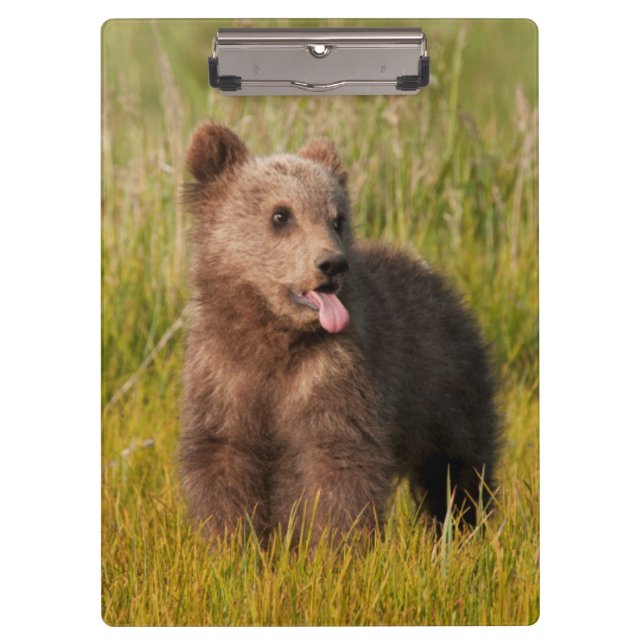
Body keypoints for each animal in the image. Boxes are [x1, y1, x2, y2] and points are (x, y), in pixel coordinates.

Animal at [179, 121, 499, 545]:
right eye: (281, 214)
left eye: (337, 218)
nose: (332, 264)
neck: (274, 335)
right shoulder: (223, 374)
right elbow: (222, 458)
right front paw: (230, 544)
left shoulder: (333, 373)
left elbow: (337, 464)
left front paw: (334, 548)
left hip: (445, 385)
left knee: (457, 467)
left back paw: (465, 529)